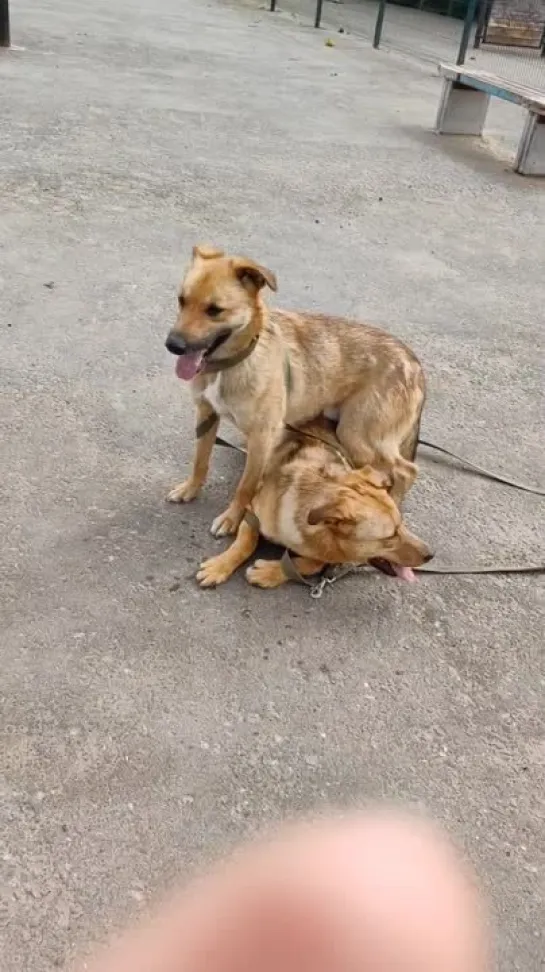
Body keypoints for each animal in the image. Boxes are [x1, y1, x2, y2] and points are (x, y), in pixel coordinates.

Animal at [166, 247, 424, 540]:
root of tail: (414, 363)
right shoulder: (206, 415)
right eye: (182, 301)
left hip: (358, 435)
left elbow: (245, 487)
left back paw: (394, 500)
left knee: (406, 470)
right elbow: (200, 460)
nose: (172, 345)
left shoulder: (262, 437)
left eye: (215, 310)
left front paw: (231, 518)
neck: (235, 362)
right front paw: (190, 489)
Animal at [193, 416, 432, 584]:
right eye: (390, 536)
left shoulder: (327, 555)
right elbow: (245, 543)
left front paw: (269, 573)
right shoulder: (254, 511)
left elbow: (310, 565)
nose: (431, 554)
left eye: (402, 524)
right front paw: (220, 566)